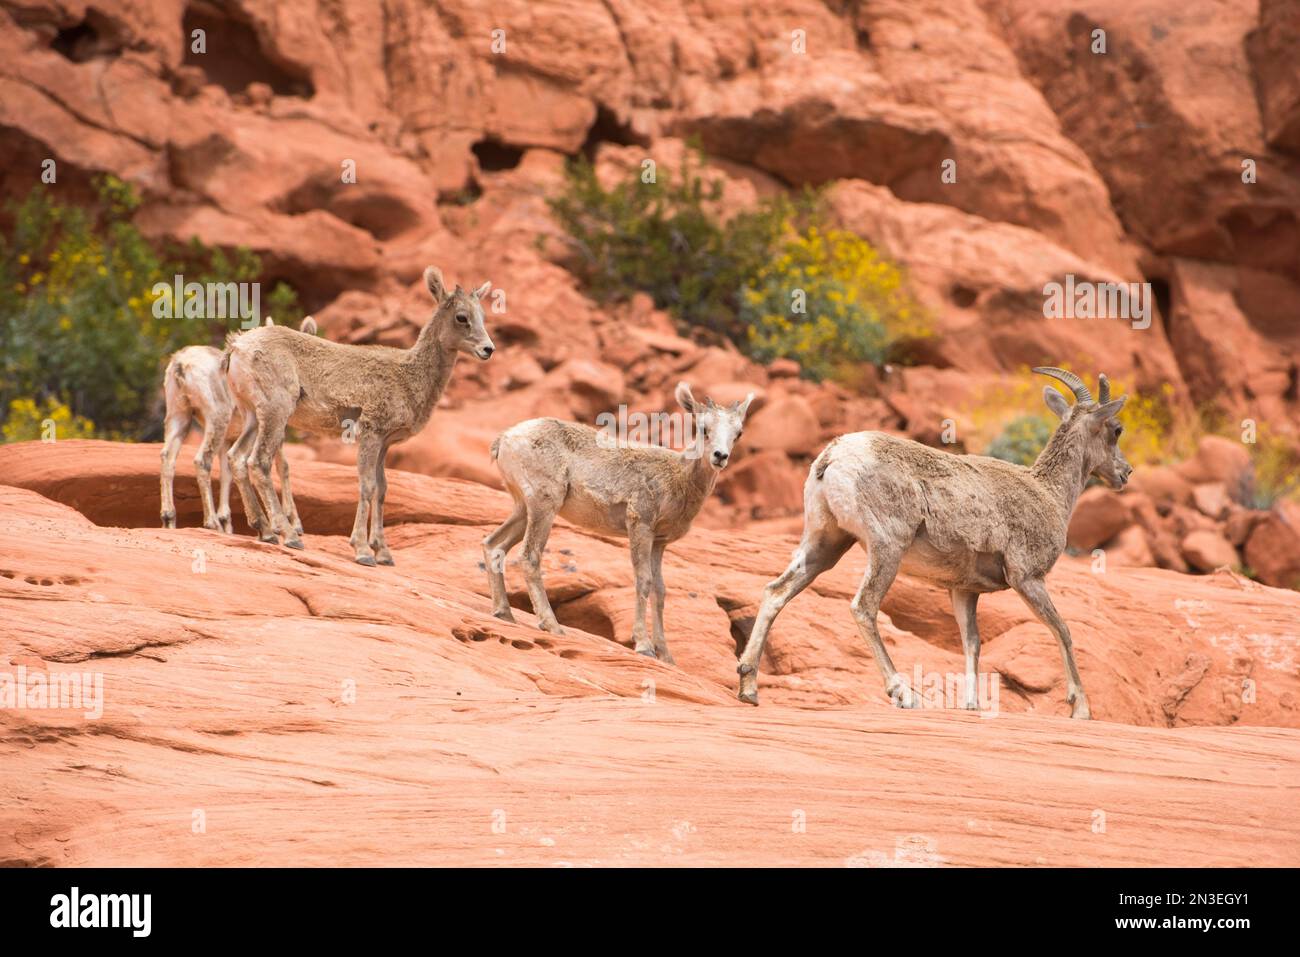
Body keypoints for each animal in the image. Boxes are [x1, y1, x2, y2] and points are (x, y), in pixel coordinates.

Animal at [160, 315, 317, 535]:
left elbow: (227, 473)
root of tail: (181, 364)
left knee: (168, 458)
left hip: (179, 416)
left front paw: (228, 525)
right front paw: (295, 524)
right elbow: (283, 467)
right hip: (217, 418)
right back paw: (212, 523)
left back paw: (169, 520)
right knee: (201, 461)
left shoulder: (230, 440)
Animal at [223, 265, 491, 564]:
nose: (488, 349)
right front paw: (363, 551)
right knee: (258, 462)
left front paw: (383, 553)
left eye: (483, 316)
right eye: (462, 317)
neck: (408, 376)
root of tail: (237, 347)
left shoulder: (385, 443)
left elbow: (383, 490)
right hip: (275, 411)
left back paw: (265, 531)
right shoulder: (370, 433)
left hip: (252, 415)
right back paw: (290, 535)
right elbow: (367, 486)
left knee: (236, 458)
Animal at [486, 382, 754, 665]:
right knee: (529, 556)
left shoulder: (659, 543)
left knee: (494, 545)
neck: (679, 480)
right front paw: (644, 646)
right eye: (703, 428)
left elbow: (660, 591)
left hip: (522, 508)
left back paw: (504, 613)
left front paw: (666, 656)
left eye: (738, 433)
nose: (720, 456)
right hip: (544, 505)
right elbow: (643, 581)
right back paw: (552, 625)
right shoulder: (640, 525)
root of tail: (505, 439)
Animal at [738, 366, 1133, 717]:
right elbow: (1062, 630)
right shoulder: (1028, 578)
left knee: (776, 591)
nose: (1125, 473)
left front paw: (972, 705)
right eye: (1116, 430)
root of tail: (833, 457)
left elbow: (972, 642)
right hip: (886, 548)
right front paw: (1081, 708)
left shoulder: (963, 590)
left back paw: (749, 688)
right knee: (863, 607)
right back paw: (905, 695)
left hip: (826, 542)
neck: (1049, 492)